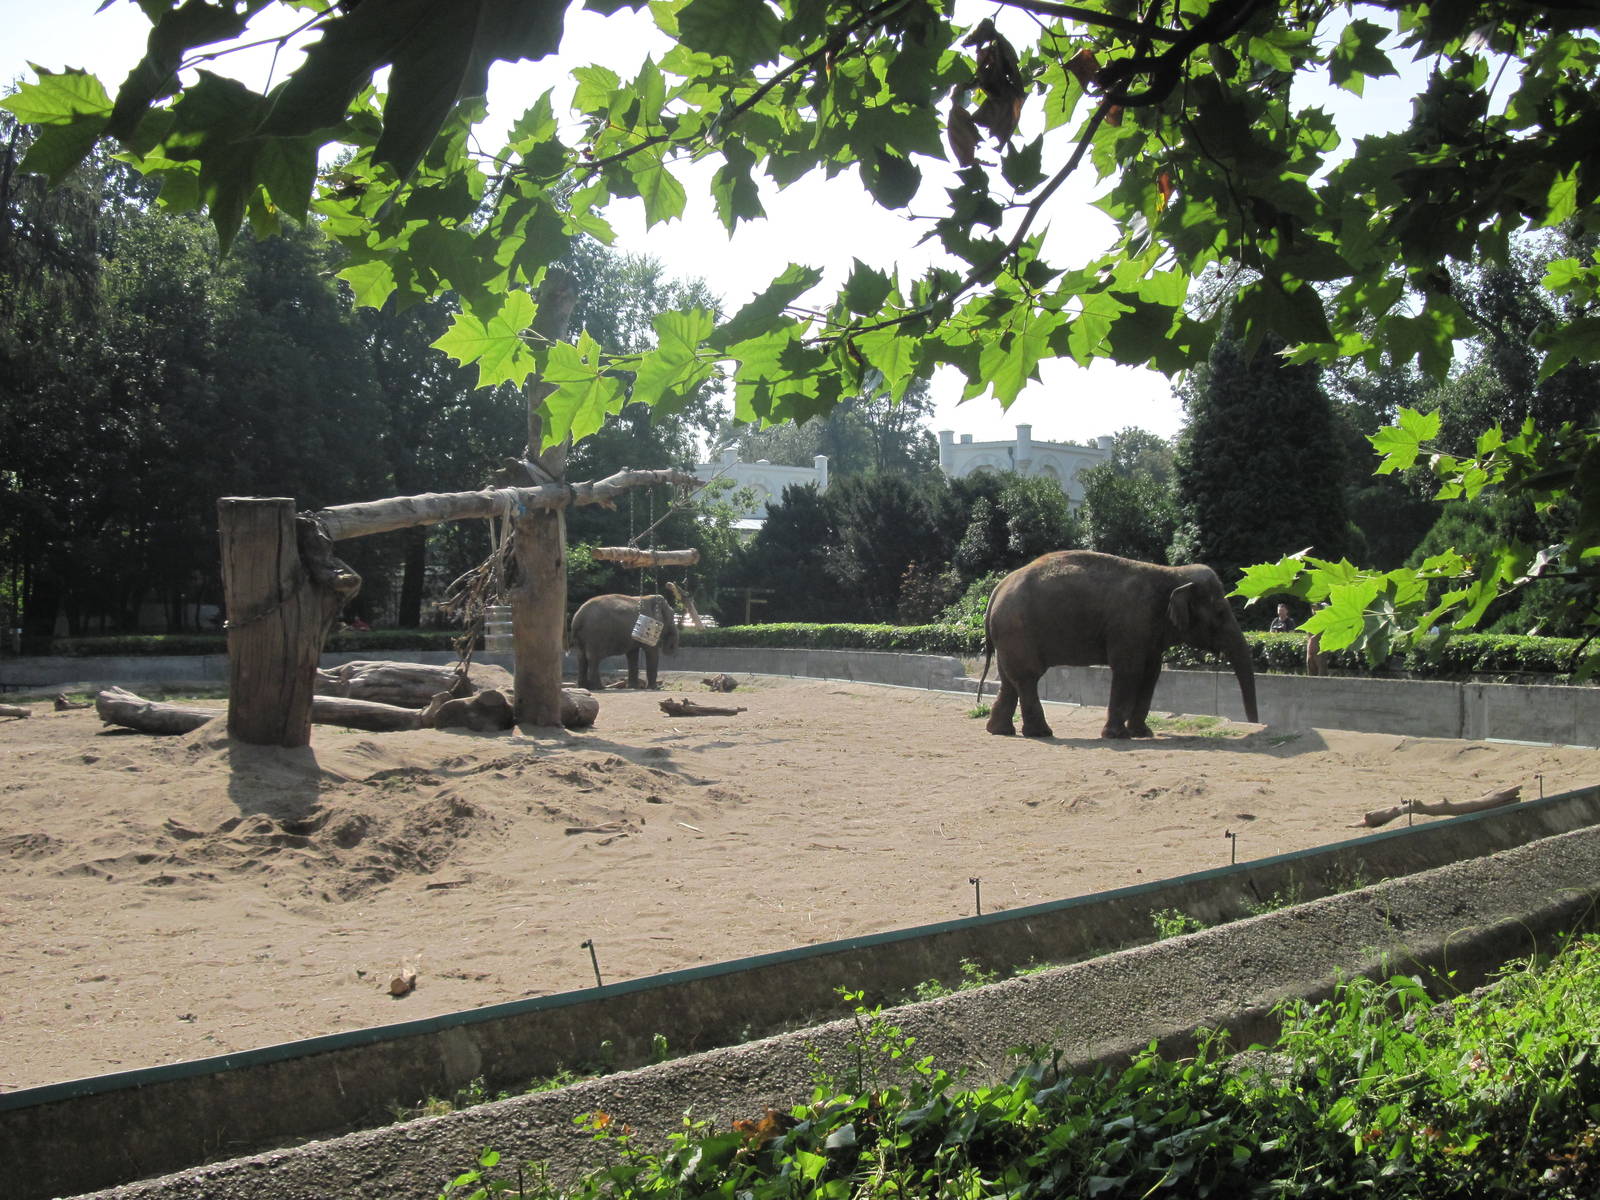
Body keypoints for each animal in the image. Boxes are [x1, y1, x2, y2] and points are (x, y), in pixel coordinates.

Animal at [980, 550, 1259, 739]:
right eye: (1220, 613)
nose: (1254, 722)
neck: (1171, 573)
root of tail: (997, 590)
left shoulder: (1148, 631)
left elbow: (1151, 673)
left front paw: (1142, 733)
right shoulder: (1130, 624)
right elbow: (1129, 671)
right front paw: (1118, 735)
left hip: (1009, 635)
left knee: (1010, 680)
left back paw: (1000, 731)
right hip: (1017, 630)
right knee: (1027, 677)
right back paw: (1041, 733)